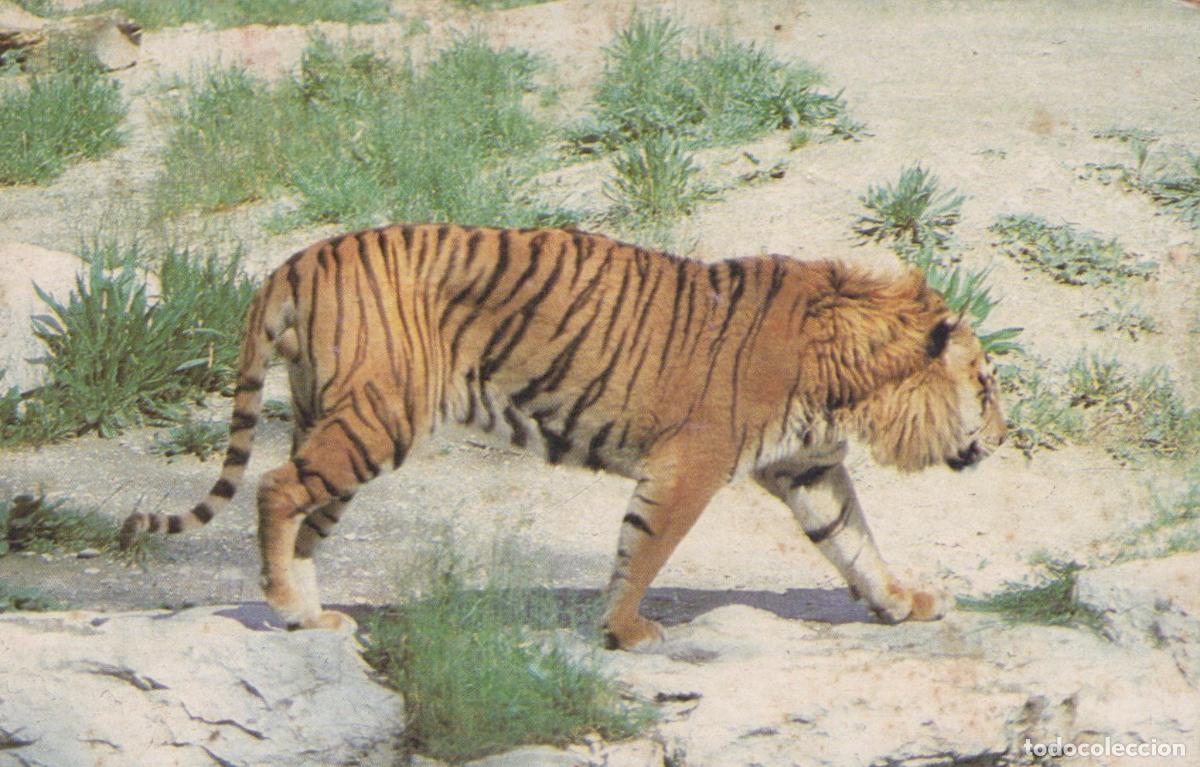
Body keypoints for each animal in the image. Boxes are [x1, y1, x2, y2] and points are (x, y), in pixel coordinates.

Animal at [121, 224, 1006, 650]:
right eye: (987, 384)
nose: (1002, 435)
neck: (849, 375)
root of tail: (295, 259)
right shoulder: (691, 461)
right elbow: (643, 549)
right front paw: (626, 631)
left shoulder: (807, 468)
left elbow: (856, 542)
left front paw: (904, 602)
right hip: (378, 419)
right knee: (276, 490)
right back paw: (286, 607)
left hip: (337, 424)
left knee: (306, 514)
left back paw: (314, 616)